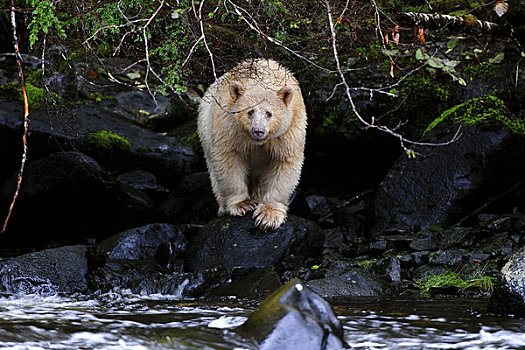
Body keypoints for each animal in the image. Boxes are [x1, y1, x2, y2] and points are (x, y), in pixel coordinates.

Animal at [199, 58, 310, 230]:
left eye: (269, 113)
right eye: (249, 111)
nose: (258, 131)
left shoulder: (289, 129)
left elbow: (285, 162)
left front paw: (268, 216)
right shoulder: (228, 125)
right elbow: (229, 160)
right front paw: (242, 205)